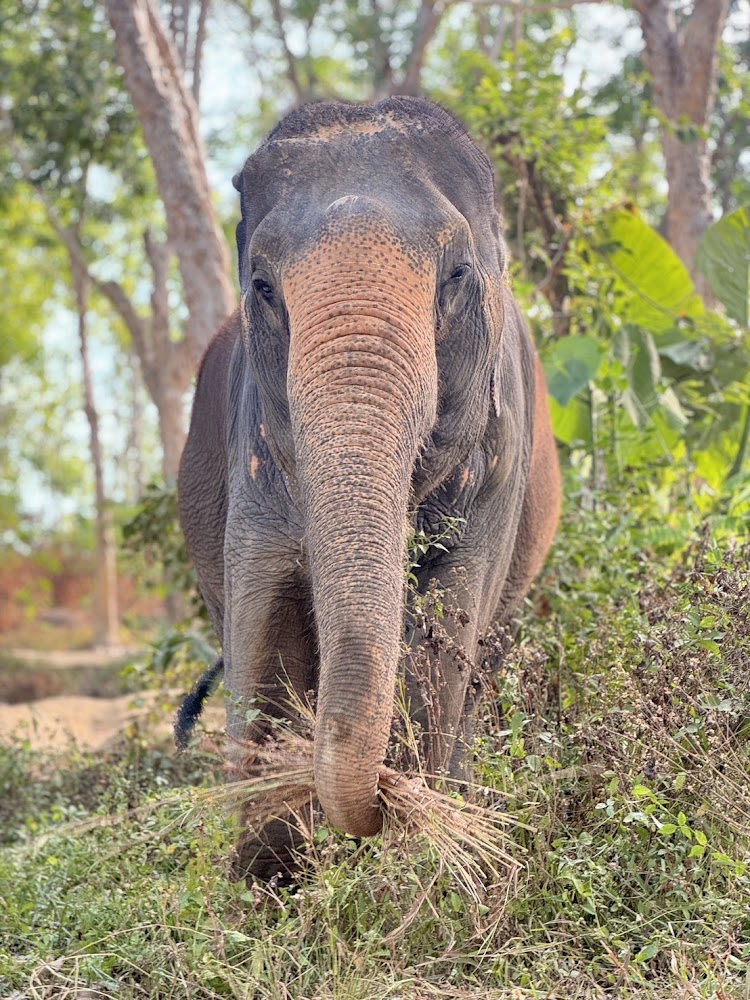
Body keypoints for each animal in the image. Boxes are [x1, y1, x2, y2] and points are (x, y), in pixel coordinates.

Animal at [178, 94, 564, 876]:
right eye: (262, 287)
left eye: (455, 275)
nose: (380, 803)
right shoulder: (256, 456)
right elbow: (263, 622)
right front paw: (265, 881)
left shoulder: (501, 462)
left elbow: (449, 626)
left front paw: (418, 847)